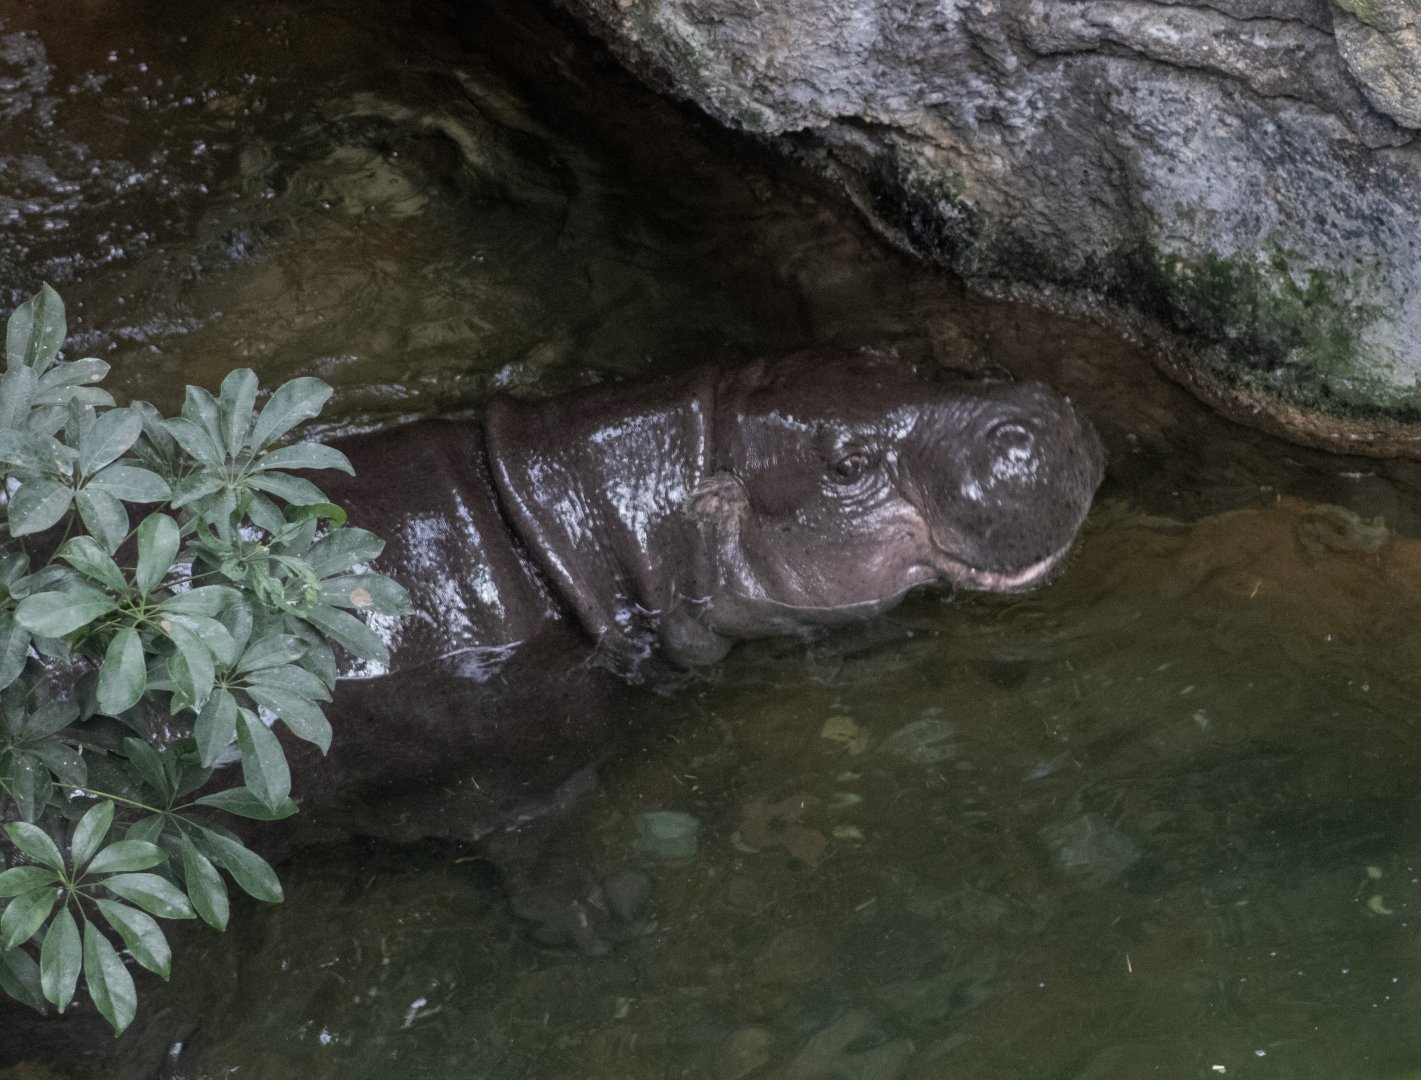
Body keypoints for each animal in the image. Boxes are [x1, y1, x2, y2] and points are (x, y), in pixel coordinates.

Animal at [283, 348, 1104, 946]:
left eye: (886, 356)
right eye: (846, 466)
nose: (1032, 410)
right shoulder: (524, 785)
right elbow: (546, 864)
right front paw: (611, 913)